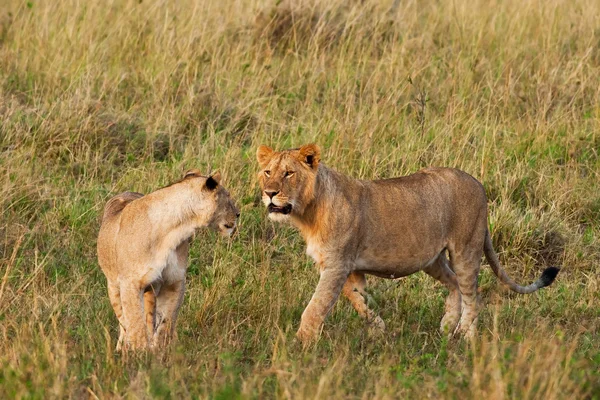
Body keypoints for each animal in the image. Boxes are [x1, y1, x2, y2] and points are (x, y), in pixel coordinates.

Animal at [96, 170, 239, 352]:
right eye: (227, 197)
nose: (238, 214)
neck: (172, 231)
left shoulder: (173, 281)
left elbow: (166, 321)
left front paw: (159, 350)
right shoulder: (130, 283)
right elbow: (135, 322)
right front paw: (138, 353)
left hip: (150, 290)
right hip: (113, 286)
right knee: (123, 320)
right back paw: (122, 347)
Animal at [255, 145, 560, 344]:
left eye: (288, 174)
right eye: (267, 172)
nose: (269, 193)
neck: (307, 213)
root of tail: (478, 182)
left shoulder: (337, 265)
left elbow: (316, 306)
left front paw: (301, 343)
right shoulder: (347, 268)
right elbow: (359, 300)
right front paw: (379, 329)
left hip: (466, 249)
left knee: (474, 296)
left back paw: (465, 337)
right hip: (432, 259)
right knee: (455, 285)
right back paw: (446, 327)